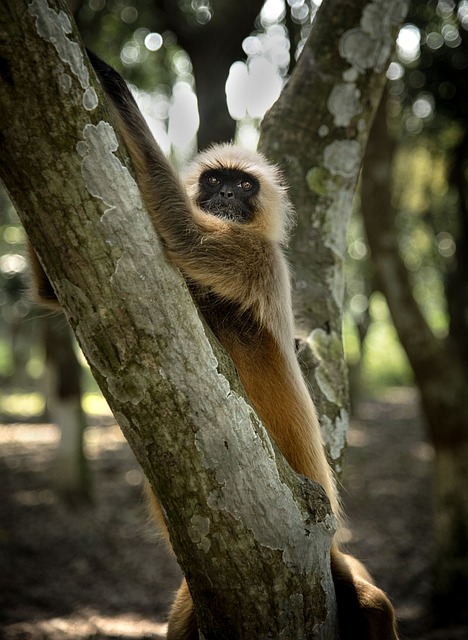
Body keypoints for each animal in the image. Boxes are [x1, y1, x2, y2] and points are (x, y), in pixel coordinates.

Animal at [31, 51, 398, 640]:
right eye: (215, 181)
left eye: (242, 186)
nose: (224, 196)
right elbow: (54, 284)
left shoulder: (260, 259)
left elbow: (181, 231)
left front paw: (115, 86)